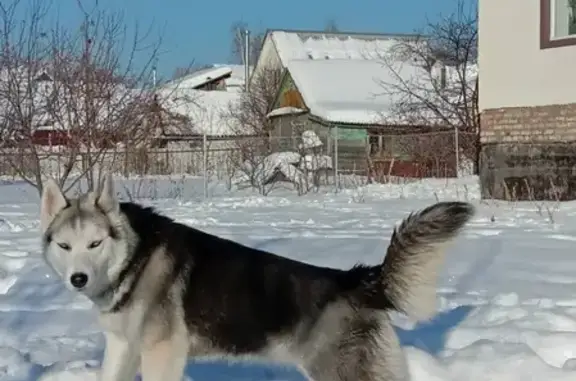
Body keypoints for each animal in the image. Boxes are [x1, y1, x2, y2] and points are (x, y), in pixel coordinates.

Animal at [39, 173, 472, 380]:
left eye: (95, 244)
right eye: (65, 246)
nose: (78, 279)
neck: (134, 259)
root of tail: (359, 280)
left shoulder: (162, 354)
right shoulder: (122, 346)